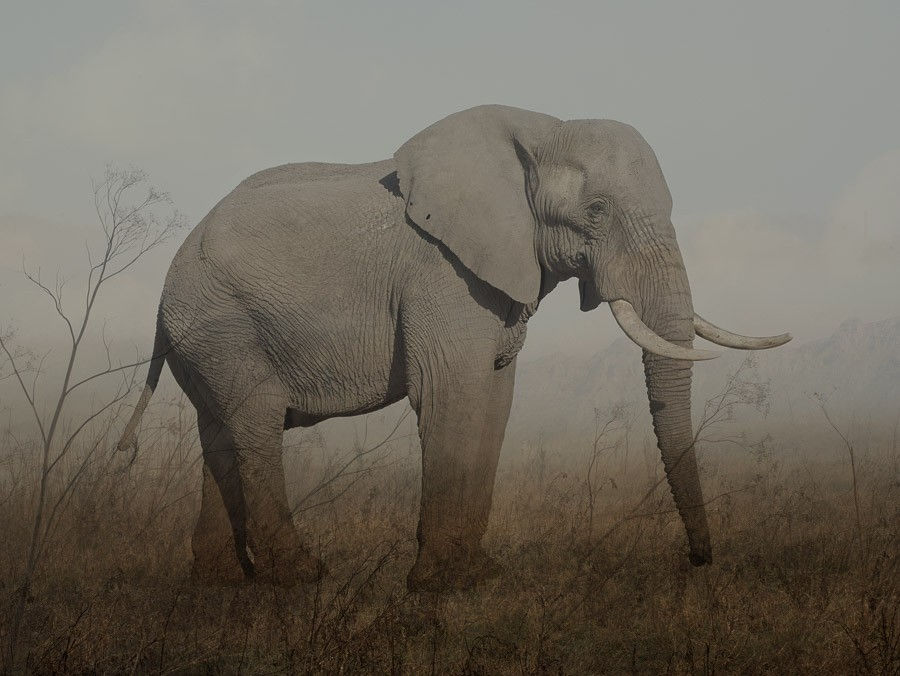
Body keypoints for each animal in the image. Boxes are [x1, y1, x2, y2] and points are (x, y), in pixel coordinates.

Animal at [117, 105, 790, 592]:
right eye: (597, 211)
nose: (698, 561)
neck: (541, 129)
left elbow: (492, 398)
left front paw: (479, 576)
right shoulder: (441, 272)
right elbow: (453, 392)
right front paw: (440, 586)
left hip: (208, 335)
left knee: (220, 433)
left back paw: (221, 585)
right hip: (222, 323)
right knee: (254, 426)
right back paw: (301, 576)